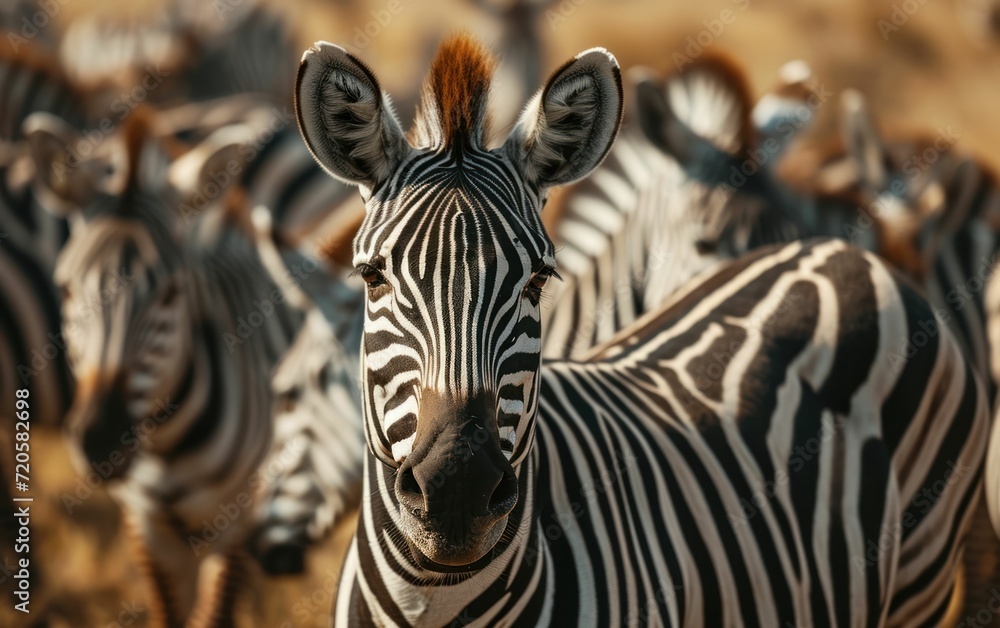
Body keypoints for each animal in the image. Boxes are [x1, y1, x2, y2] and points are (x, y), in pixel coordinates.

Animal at [23, 109, 302, 627]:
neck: (171, 444)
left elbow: (216, 614)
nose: (102, 440)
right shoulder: (146, 527)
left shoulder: (238, 521)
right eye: (66, 289)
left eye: (171, 293)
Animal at [294, 34, 989, 626]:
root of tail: (846, 255)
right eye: (372, 277)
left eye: (539, 281)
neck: (433, 600)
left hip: (923, 574)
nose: (457, 489)